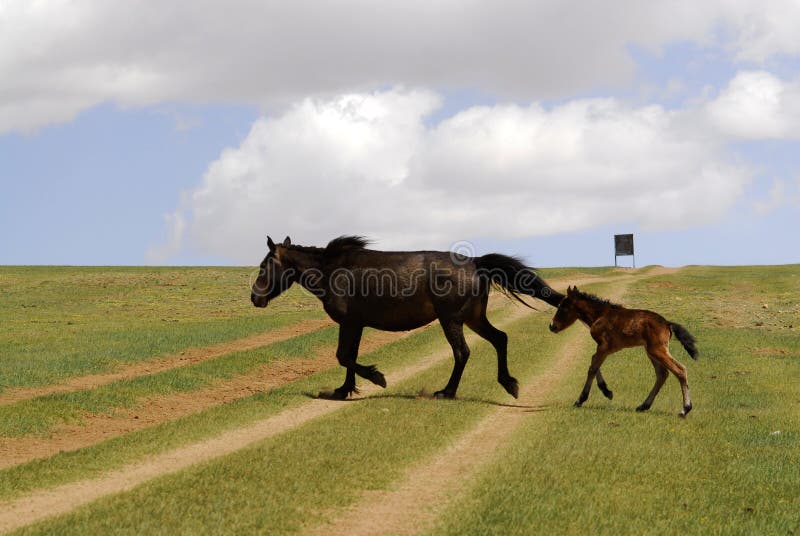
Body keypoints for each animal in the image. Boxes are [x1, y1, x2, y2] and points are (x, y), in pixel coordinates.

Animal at [250, 237, 564, 400]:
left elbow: (343, 356)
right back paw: (509, 384)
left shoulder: (350, 323)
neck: (331, 271)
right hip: (473, 318)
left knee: (462, 352)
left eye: (265, 266)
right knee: (500, 339)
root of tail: (476, 263)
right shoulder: (356, 324)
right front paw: (344, 390)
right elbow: (349, 356)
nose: (255, 297)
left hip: (451, 320)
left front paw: (378, 378)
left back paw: (447, 391)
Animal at [548, 286, 696, 416]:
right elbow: (593, 362)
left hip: (657, 350)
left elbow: (592, 368)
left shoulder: (604, 347)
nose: (552, 326)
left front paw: (580, 399)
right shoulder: (606, 349)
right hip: (651, 352)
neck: (600, 315)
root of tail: (667, 324)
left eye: (563, 307)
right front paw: (606, 391)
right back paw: (643, 406)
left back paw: (685, 409)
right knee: (662, 374)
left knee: (680, 370)